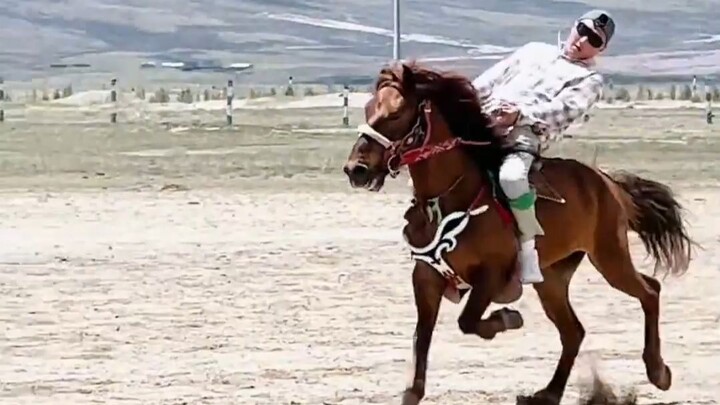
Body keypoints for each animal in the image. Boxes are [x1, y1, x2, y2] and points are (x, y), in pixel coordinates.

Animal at [341, 61, 694, 405]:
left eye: (396, 112)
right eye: (369, 108)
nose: (356, 169)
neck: (452, 197)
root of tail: (607, 181)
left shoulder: (492, 274)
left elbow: (468, 321)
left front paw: (509, 318)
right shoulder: (426, 277)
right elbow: (421, 343)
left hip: (609, 256)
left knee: (650, 291)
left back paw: (658, 372)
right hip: (553, 278)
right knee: (574, 331)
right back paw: (548, 393)